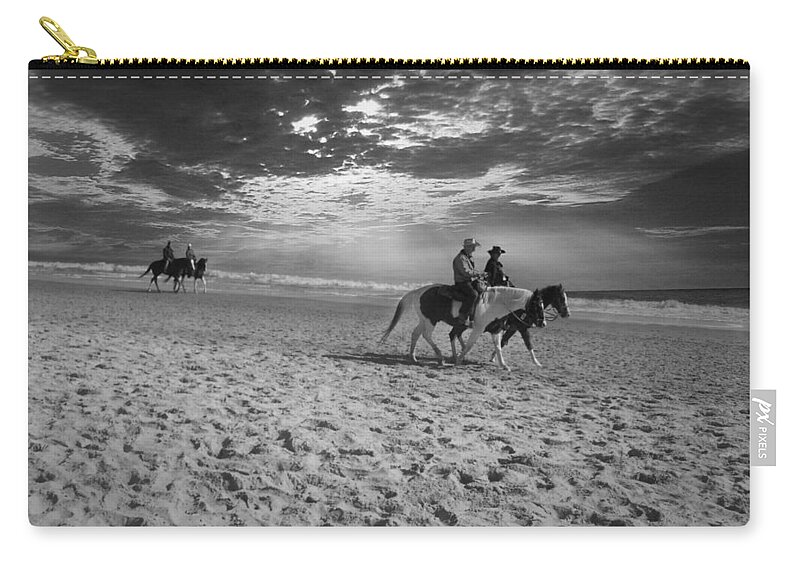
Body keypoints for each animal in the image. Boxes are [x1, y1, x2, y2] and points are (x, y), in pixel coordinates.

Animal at [380, 282, 544, 370]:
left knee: (416, 333)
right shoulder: (478, 329)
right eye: (536, 305)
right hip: (431, 321)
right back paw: (440, 357)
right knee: (426, 335)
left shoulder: (495, 330)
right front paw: (458, 360)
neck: (494, 304)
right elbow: (470, 345)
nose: (543, 323)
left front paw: (504, 365)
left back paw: (413, 357)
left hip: (424, 320)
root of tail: (418, 291)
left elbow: (498, 347)